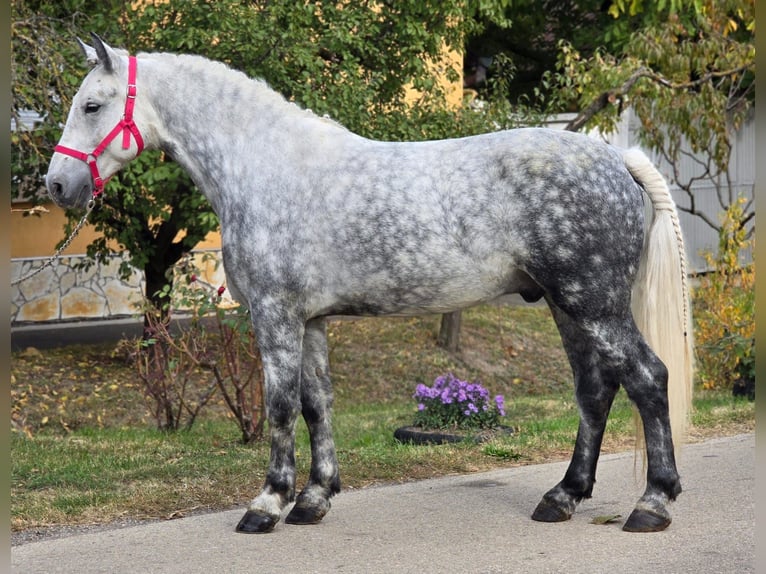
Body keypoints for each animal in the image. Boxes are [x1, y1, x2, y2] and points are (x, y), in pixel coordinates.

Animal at [46, 34, 694, 534]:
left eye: (93, 105)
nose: (56, 185)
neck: (265, 165)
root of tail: (617, 161)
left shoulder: (275, 314)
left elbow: (279, 405)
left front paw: (267, 504)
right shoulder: (310, 320)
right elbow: (316, 403)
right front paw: (313, 499)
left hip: (595, 304)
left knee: (647, 378)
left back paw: (652, 503)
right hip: (567, 305)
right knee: (595, 390)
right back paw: (562, 496)